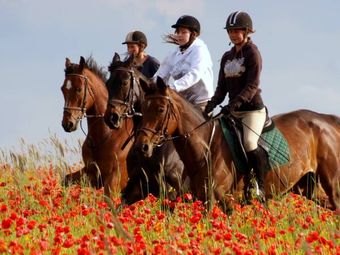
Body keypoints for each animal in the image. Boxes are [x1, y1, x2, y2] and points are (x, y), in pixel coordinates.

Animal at [59, 55, 131, 195]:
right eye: (63, 89)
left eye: (79, 89)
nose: (67, 124)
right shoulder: (91, 173)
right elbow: (65, 180)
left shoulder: (115, 181)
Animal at [133, 76, 340, 212]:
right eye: (142, 107)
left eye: (160, 109)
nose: (142, 146)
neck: (206, 146)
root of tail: (328, 121)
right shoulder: (200, 199)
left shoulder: (218, 201)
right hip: (308, 187)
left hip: (332, 185)